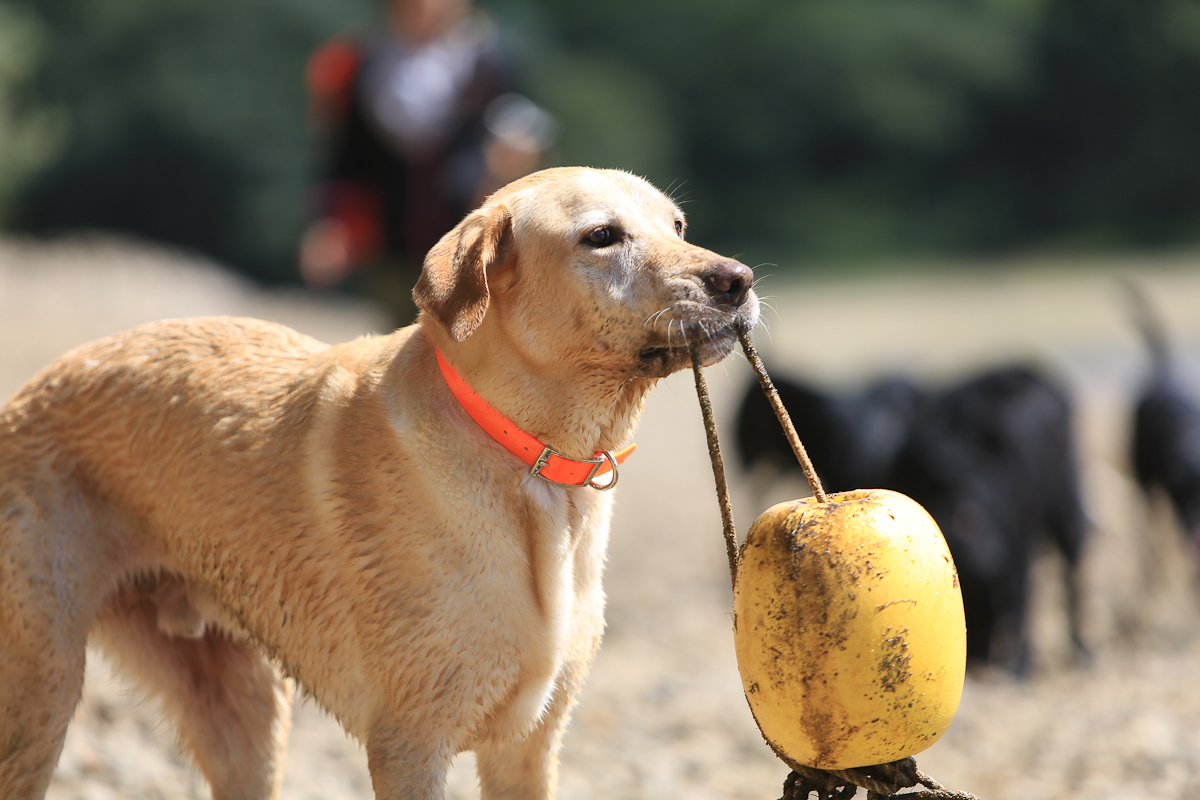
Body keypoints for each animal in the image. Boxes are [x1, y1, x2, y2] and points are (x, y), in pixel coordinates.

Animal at [0, 167, 759, 800]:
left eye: (678, 227)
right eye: (601, 236)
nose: (740, 280)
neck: (530, 460)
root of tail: (25, 396)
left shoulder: (528, 747)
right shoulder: (411, 743)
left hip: (240, 707)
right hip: (41, 695)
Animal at [734, 364, 1088, 674]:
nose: (976, 664)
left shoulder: (1015, 544)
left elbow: (1018, 600)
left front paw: (1017, 667)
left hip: (1065, 502)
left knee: (1069, 568)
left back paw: (1079, 651)